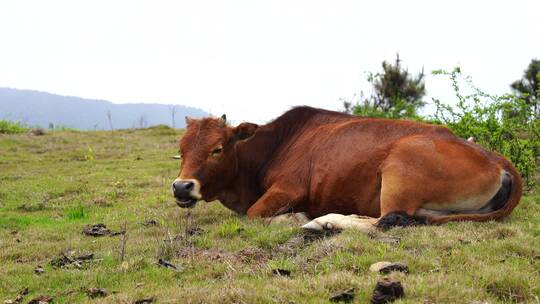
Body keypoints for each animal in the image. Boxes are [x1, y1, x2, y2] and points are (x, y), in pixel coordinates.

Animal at [171, 106, 520, 230]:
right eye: (181, 149)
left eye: (217, 149)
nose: (181, 186)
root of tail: (498, 158)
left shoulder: (288, 189)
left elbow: (255, 214)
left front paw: (296, 217)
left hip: (399, 170)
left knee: (385, 222)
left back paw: (322, 222)